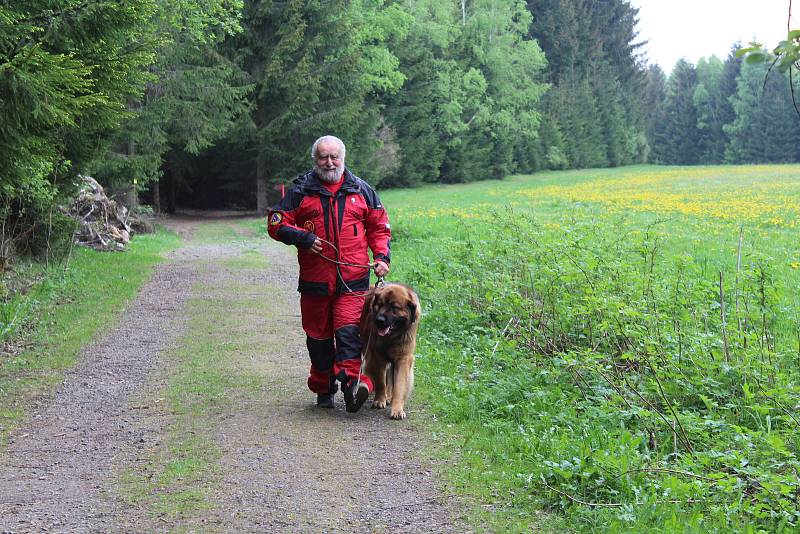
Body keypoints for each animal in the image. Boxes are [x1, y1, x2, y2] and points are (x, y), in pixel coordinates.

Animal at [360, 282, 422, 420]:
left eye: (395, 307)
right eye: (380, 304)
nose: (380, 320)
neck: (392, 337)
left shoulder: (403, 358)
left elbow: (399, 385)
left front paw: (397, 409)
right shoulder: (377, 357)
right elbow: (380, 381)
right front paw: (379, 400)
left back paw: (389, 397)